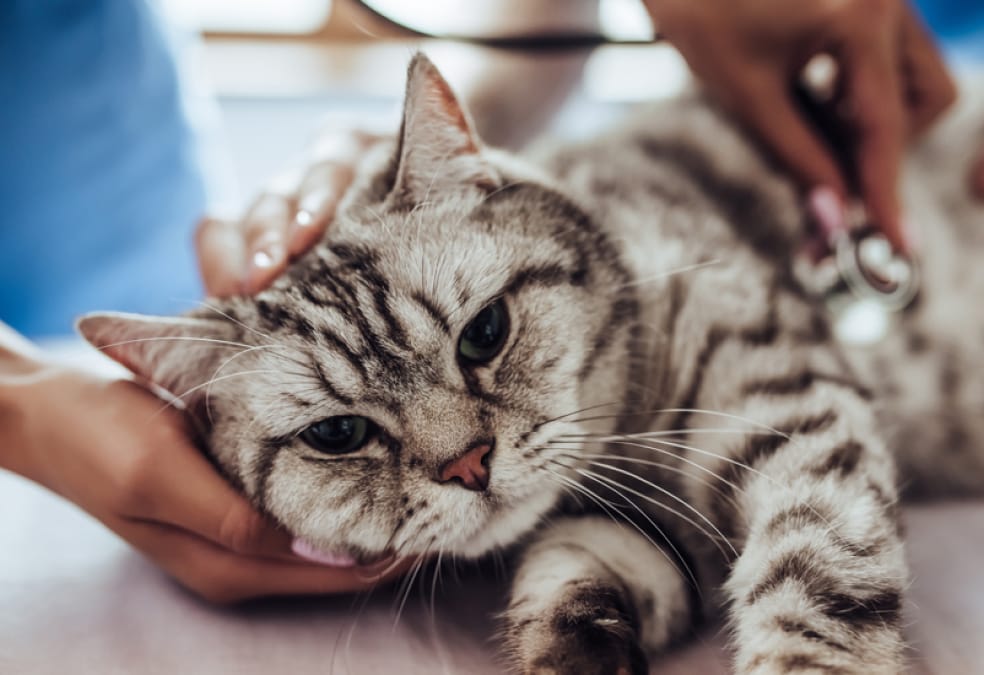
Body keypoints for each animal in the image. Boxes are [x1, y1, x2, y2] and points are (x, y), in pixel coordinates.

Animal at [80, 54, 984, 675]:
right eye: (338, 434)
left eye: (484, 332)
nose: (469, 465)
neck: (631, 447)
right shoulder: (635, 531)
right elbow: (566, 580)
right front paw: (576, 648)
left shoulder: (795, 417)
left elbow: (810, 586)